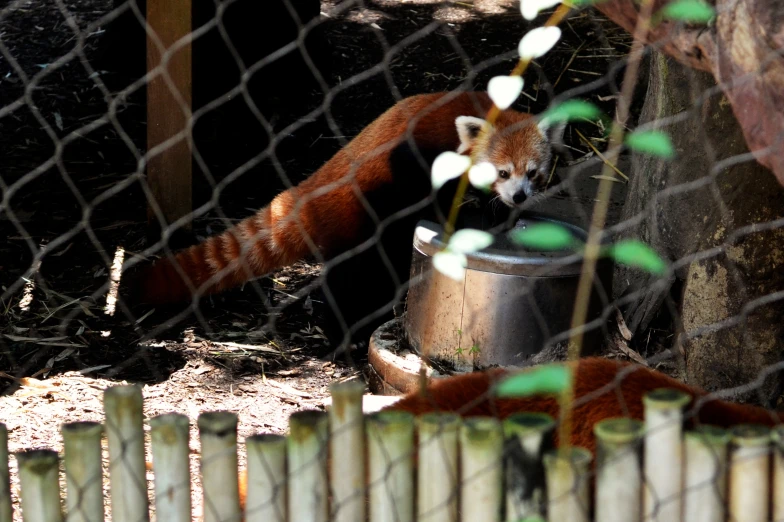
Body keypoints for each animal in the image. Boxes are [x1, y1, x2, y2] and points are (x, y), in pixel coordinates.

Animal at [125, 90, 560, 342]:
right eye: (502, 172)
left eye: (532, 173)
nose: (519, 195)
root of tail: (302, 196)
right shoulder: (418, 148)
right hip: (353, 223)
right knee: (352, 280)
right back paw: (340, 336)